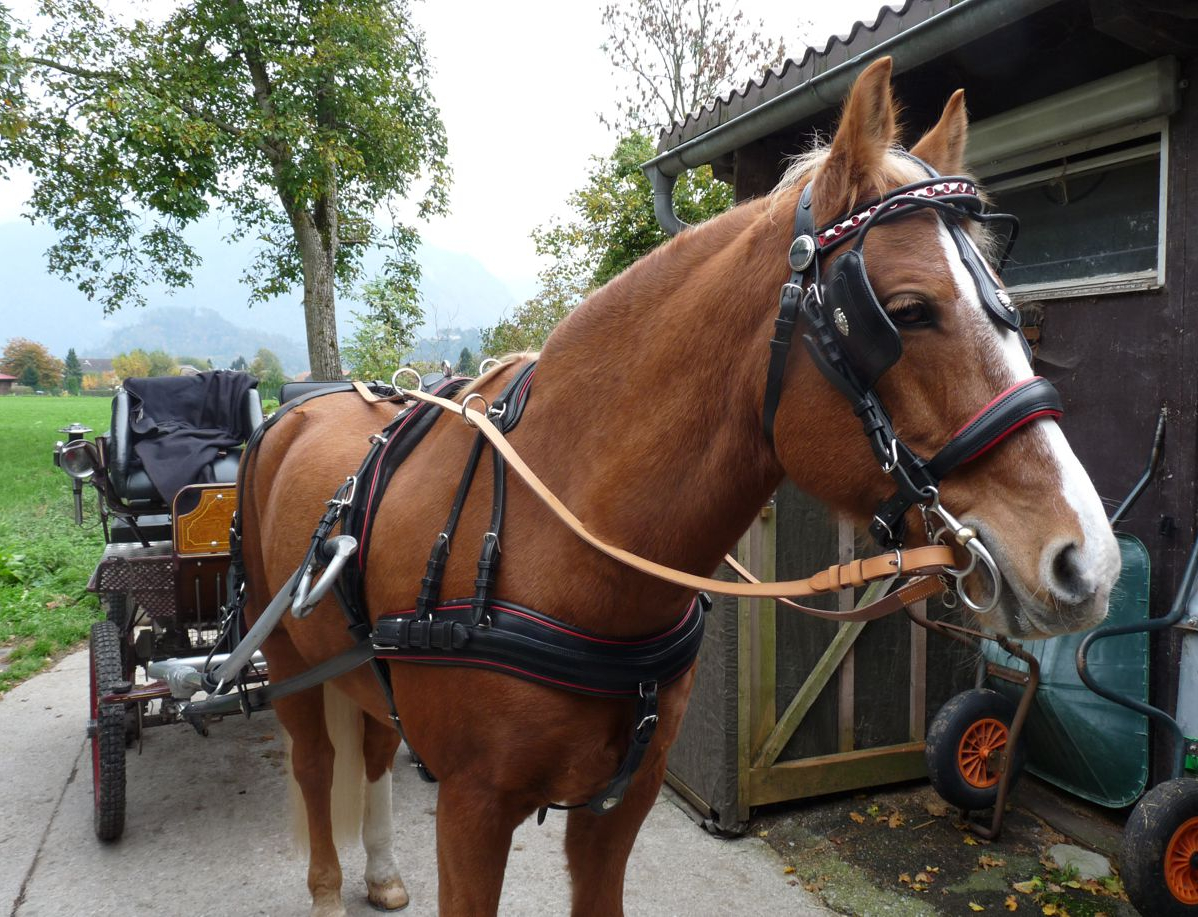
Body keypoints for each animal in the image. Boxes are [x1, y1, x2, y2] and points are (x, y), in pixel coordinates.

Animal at [238, 59, 1116, 915]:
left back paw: (383, 871)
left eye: (1009, 306)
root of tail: (303, 403)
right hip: (281, 655)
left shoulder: (620, 803)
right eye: (904, 310)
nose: (1089, 562)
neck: (558, 544)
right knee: (315, 764)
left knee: (373, 746)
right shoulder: (471, 808)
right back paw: (327, 890)